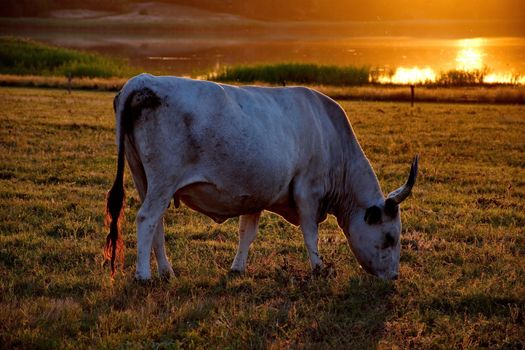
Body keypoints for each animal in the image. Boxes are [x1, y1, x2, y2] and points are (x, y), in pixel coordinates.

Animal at [103, 74, 418, 282]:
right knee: (146, 219)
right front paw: (318, 268)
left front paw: (237, 268)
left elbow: (247, 232)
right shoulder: (307, 192)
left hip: (144, 180)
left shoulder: (255, 194)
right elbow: (310, 233)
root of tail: (141, 81)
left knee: (156, 223)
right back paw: (143, 276)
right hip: (163, 181)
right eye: (390, 237)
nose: (394, 276)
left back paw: (166, 271)